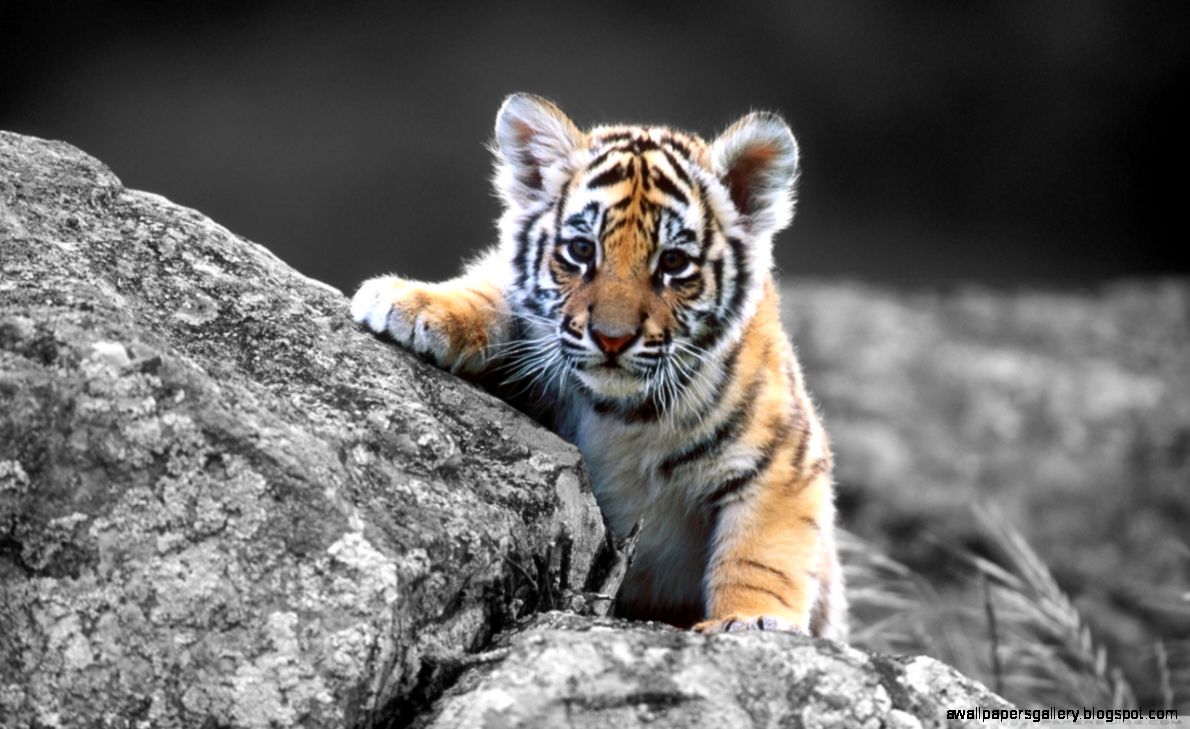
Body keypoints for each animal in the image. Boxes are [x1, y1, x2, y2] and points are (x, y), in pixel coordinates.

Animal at [351, 93, 846, 640]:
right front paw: (411, 303)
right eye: (582, 250)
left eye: (673, 263)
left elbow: (761, 555)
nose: (612, 338)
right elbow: (493, 291)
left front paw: (751, 621)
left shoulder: (785, 461)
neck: (623, 414)